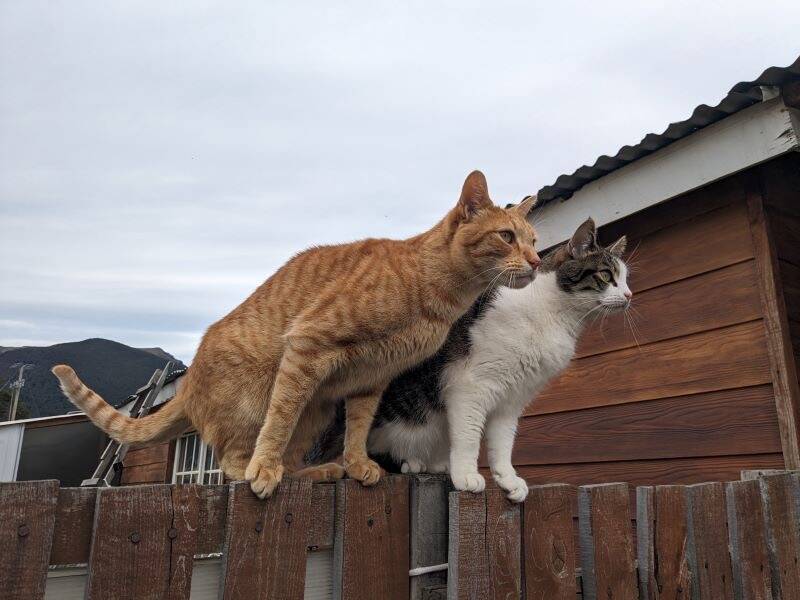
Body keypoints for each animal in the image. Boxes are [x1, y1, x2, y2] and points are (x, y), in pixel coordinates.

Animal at [53, 170, 540, 496]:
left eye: (534, 240)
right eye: (506, 236)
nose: (537, 262)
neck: (433, 292)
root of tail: (187, 384)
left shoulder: (372, 378)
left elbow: (359, 429)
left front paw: (357, 464)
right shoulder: (309, 343)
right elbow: (278, 422)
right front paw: (263, 469)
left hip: (319, 411)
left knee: (292, 458)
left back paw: (321, 471)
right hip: (258, 400)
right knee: (233, 458)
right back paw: (264, 470)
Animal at [312, 219, 632, 502]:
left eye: (626, 278)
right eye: (606, 275)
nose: (629, 295)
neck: (555, 315)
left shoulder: (512, 399)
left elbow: (503, 443)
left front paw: (507, 479)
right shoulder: (471, 386)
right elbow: (468, 435)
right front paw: (466, 475)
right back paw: (409, 463)